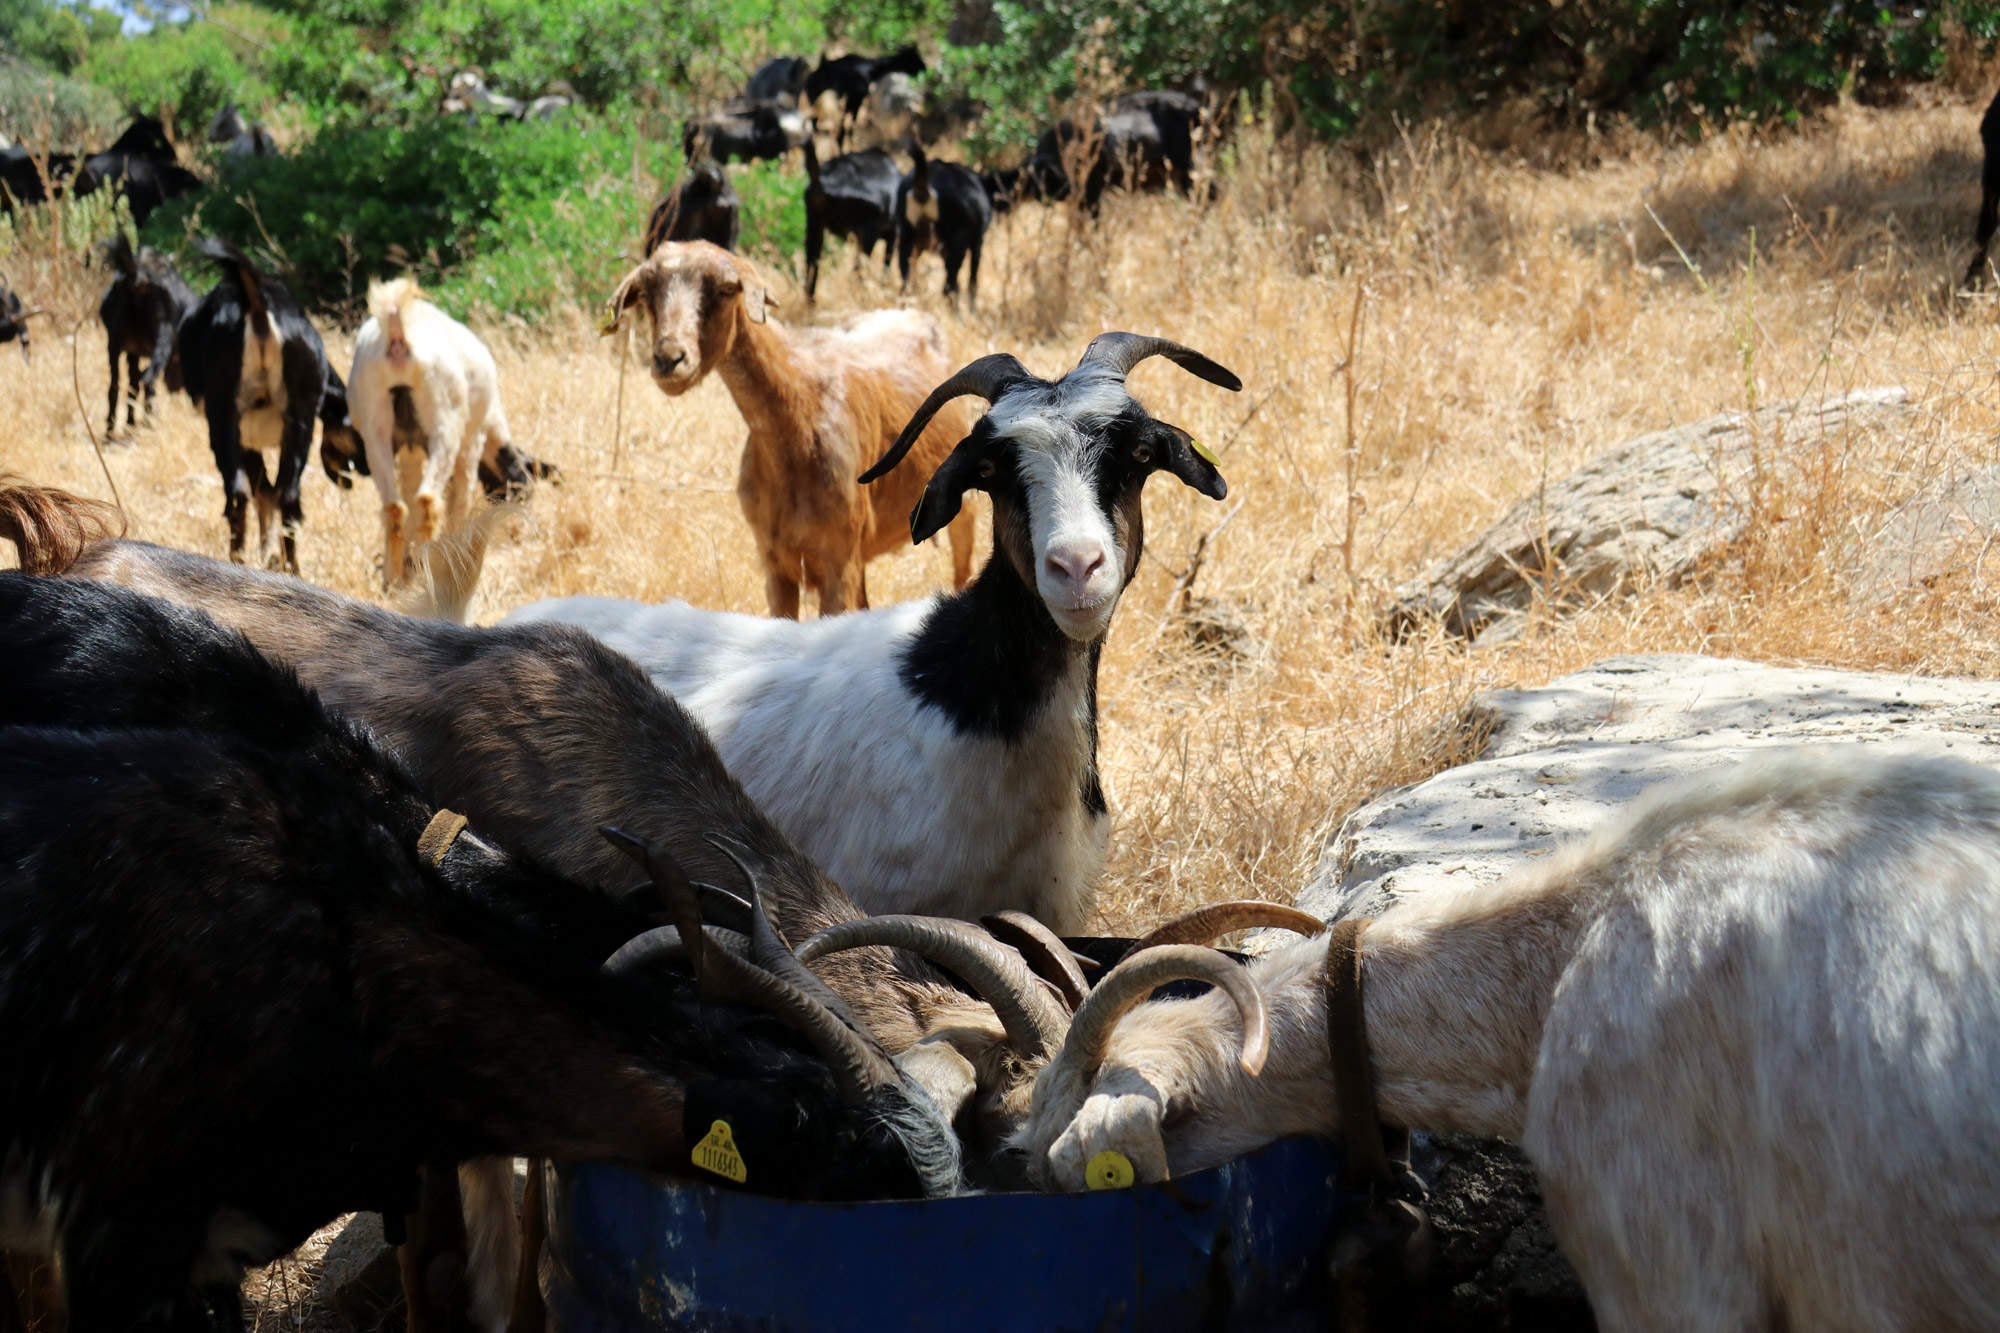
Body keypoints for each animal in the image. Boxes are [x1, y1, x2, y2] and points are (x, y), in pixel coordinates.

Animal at [97, 230, 193, 436]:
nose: (176, 387)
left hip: (113, 344)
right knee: (148, 380)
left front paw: (130, 421)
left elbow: (132, 382)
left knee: (116, 385)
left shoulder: (132, 350)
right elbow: (145, 383)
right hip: (159, 342)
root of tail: (139, 275)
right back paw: (149, 421)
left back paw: (110, 431)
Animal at [608, 239, 976, 612]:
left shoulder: (838, 562)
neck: (796, 426)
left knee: (964, 569)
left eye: (726, 290)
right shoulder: (776, 564)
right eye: (645, 292)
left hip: (961, 511)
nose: (669, 359)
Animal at [800, 137, 904, 298]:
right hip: (868, 234)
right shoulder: (892, 234)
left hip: (814, 222)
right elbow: (886, 263)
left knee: (812, 265)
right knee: (857, 272)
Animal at [896, 143, 988, 304]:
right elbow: (972, 283)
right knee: (950, 286)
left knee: (905, 274)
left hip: (907, 234)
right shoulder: (977, 241)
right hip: (959, 239)